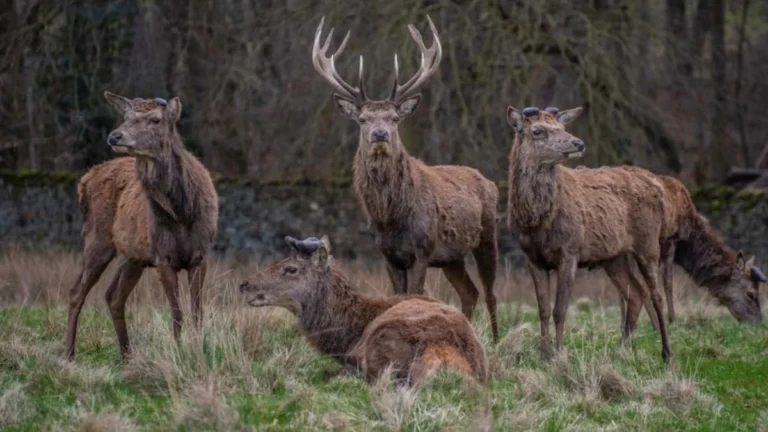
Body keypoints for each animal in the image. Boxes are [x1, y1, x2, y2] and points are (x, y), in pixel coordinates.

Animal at [65, 92, 218, 362]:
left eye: (155, 119)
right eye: (126, 116)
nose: (115, 135)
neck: (183, 213)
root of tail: (84, 180)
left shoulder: (201, 255)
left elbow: (197, 311)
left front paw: (199, 349)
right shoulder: (163, 257)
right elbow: (177, 312)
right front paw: (178, 351)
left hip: (132, 257)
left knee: (113, 296)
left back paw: (127, 356)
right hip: (96, 239)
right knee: (77, 292)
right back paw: (69, 354)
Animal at [310, 17, 500, 342]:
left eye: (395, 118)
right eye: (363, 119)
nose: (380, 134)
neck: (391, 216)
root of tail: (489, 182)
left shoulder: (421, 250)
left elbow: (416, 294)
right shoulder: (388, 255)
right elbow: (398, 297)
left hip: (488, 236)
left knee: (490, 293)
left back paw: (498, 341)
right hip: (451, 257)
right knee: (469, 292)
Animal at [506, 106, 672, 362]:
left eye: (562, 127)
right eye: (537, 131)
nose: (578, 143)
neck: (537, 223)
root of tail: (657, 188)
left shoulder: (570, 251)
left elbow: (560, 310)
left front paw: (559, 355)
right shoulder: (532, 258)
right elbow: (542, 310)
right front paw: (544, 355)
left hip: (648, 243)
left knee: (657, 295)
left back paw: (667, 352)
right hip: (614, 257)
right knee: (635, 293)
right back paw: (622, 349)